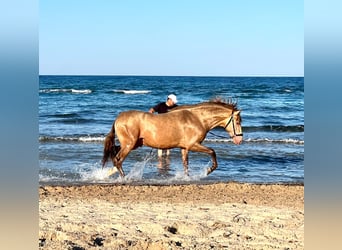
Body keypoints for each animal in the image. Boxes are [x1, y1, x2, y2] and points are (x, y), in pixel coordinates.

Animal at [101, 98, 243, 177]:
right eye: (237, 122)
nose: (239, 139)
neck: (198, 119)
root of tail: (118, 118)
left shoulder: (184, 148)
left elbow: (185, 164)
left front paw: (187, 177)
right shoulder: (193, 145)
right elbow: (212, 152)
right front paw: (208, 170)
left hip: (134, 144)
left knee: (114, 153)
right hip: (129, 145)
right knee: (118, 159)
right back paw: (124, 177)